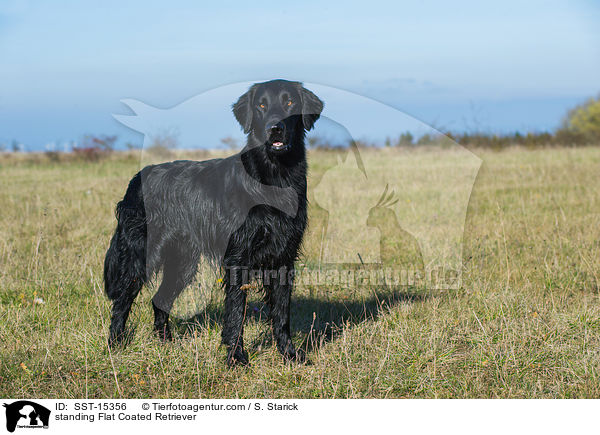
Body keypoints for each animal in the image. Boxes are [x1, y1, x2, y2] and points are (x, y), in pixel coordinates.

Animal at [103, 80, 324, 366]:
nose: (275, 127)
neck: (274, 176)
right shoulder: (238, 257)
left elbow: (281, 313)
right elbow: (236, 313)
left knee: (159, 299)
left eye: (290, 103)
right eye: (261, 105)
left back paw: (166, 343)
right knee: (122, 301)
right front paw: (236, 357)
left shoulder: (284, 256)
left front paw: (289, 354)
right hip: (141, 255)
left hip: (182, 261)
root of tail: (137, 177)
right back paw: (115, 345)